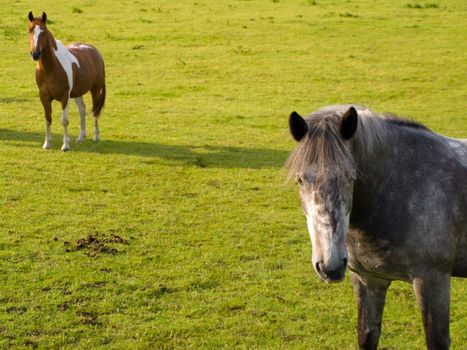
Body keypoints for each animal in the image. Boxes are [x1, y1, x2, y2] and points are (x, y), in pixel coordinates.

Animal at [28, 10, 107, 150]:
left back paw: (96, 136)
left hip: (95, 89)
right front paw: (47, 144)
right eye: (29, 31)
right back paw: (81, 137)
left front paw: (65, 145)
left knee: (95, 110)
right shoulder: (44, 97)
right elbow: (48, 119)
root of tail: (95, 51)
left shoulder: (65, 96)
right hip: (77, 93)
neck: (51, 68)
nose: (35, 54)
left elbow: (64, 120)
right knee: (82, 110)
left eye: (44, 32)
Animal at [288, 106, 466, 350]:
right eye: (300, 180)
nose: (330, 267)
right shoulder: (368, 280)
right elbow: (367, 335)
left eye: (350, 176)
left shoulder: (433, 282)